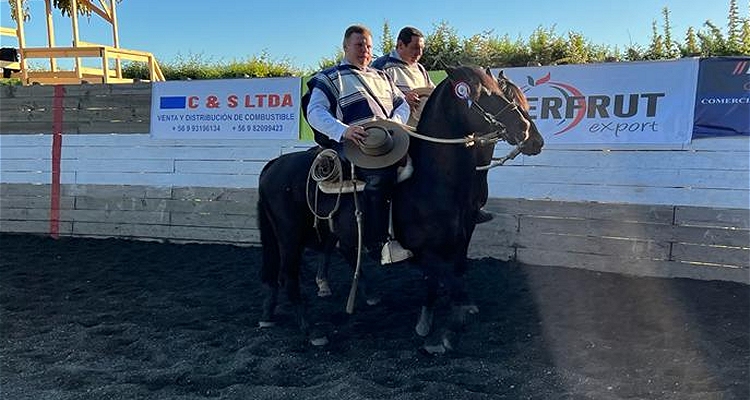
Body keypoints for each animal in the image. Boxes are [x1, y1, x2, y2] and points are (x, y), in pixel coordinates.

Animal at [256, 65, 544, 350]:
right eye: (484, 94)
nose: (528, 134)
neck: (431, 180)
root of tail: (274, 165)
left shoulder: (458, 238)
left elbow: (446, 279)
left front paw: (428, 324)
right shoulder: (427, 251)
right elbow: (452, 286)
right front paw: (449, 333)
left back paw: (272, 313)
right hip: (290, 237)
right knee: (289, 276)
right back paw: (311, 330)